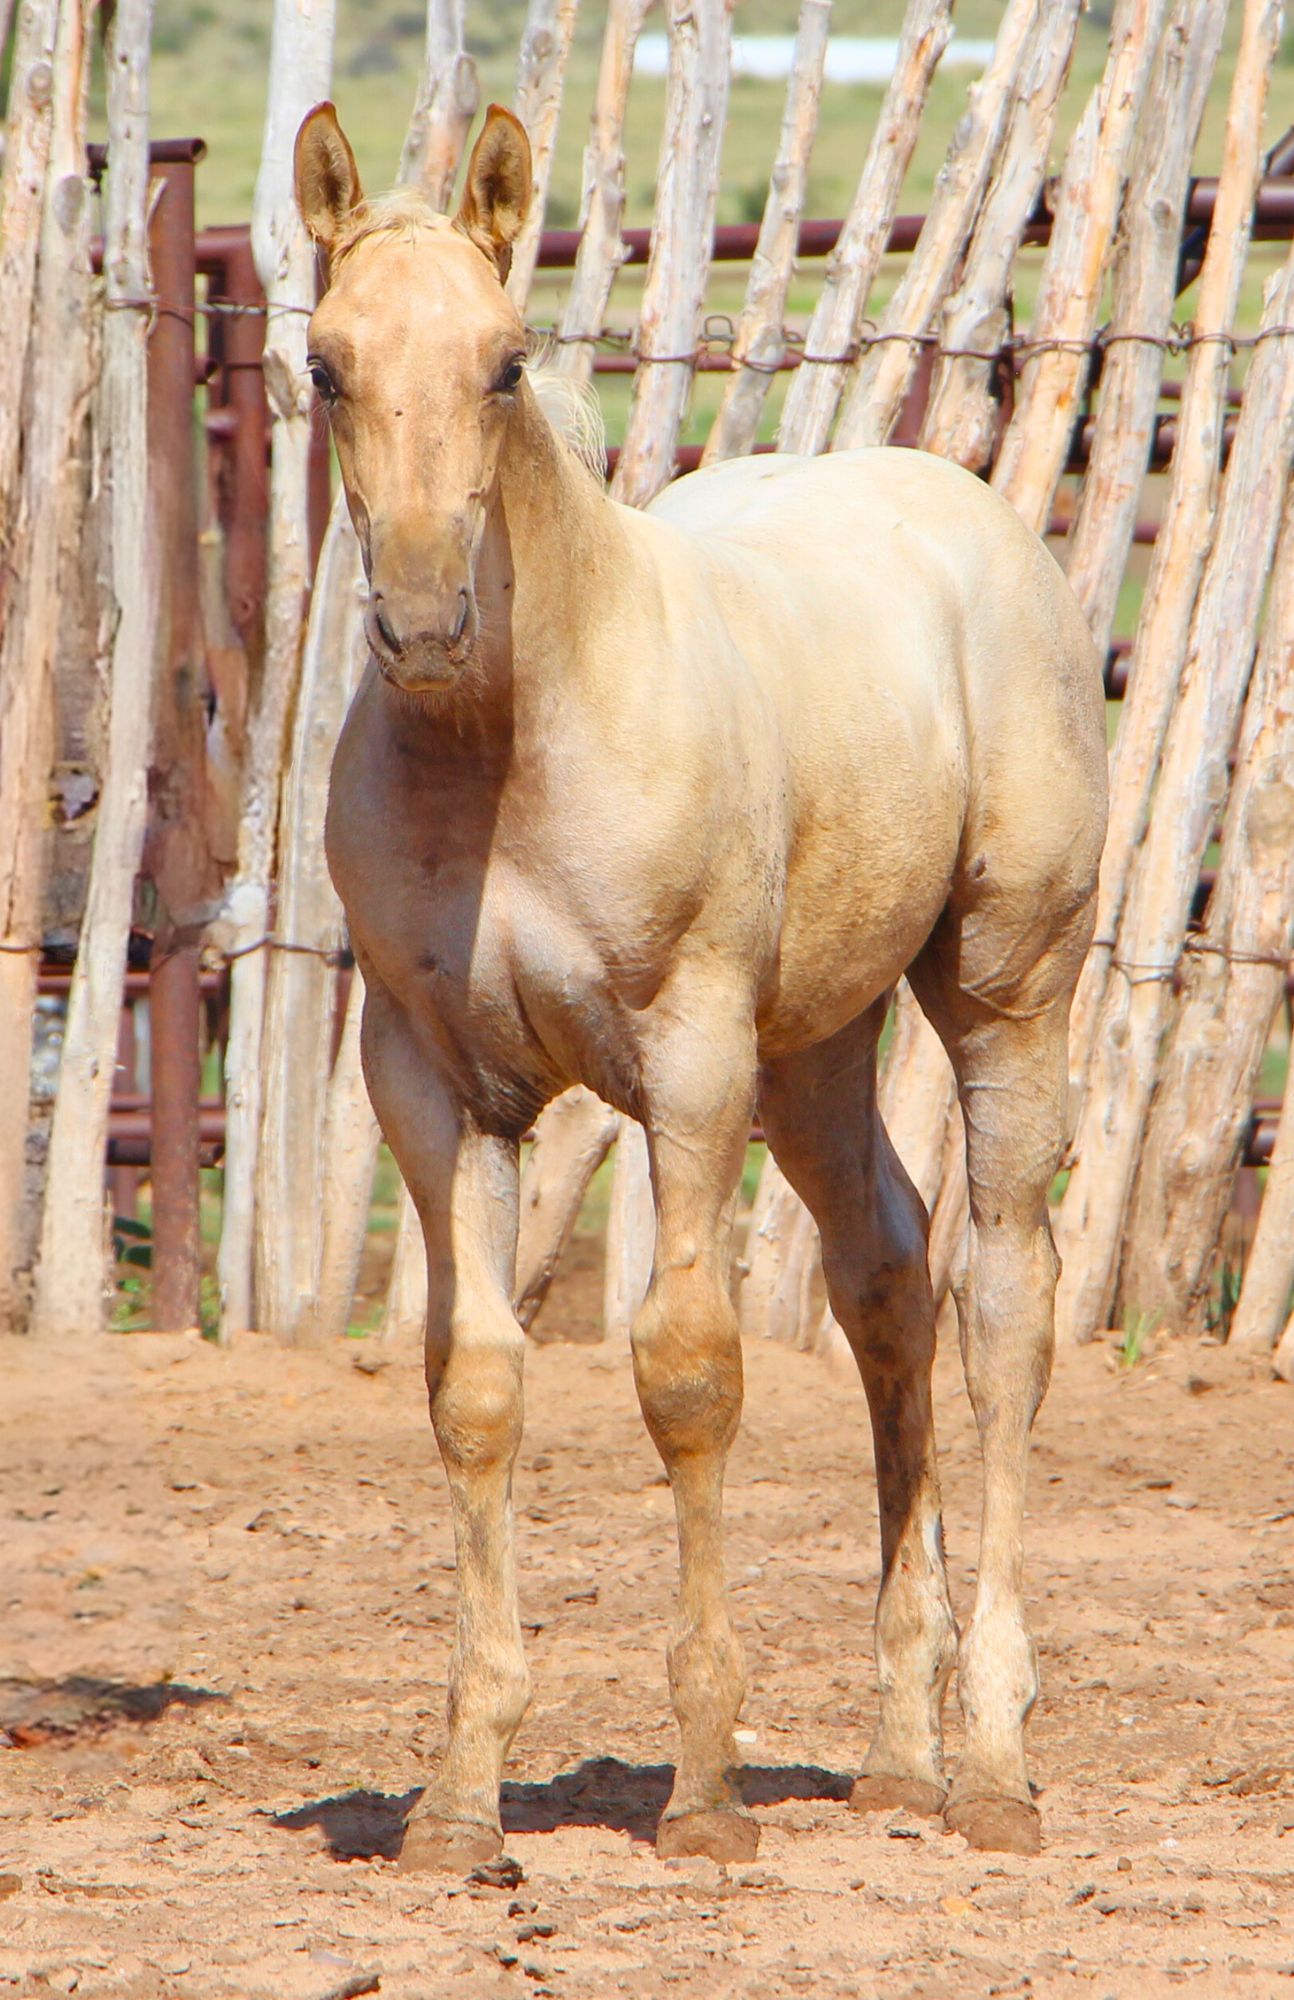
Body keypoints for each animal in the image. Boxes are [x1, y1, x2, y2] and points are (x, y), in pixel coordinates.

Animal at [293, 100, 1108, 1872]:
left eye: (508, 361)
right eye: (322, 365)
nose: (425, 621)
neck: (506, 753)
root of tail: (967, 508)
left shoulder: (688, 1053)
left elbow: (686, 1374)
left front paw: (705, 1795)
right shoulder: (429, 1079)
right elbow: (474, 1388)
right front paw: (460, 1802)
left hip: (1004, 995)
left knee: (1003, 1311)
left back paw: (992, 1765)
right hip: (819, 1047)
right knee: (886, 1281)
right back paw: (896, 1756)